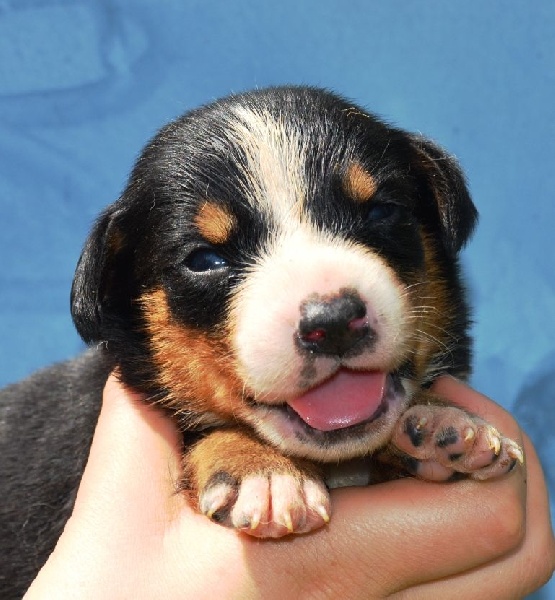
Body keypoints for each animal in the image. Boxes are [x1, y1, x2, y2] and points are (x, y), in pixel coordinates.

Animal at [0, 86, 523, 597]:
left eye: (379, 211)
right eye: (204, 259)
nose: (332, 321)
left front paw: (442, 420)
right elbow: (209, 433)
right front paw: (262, 472)